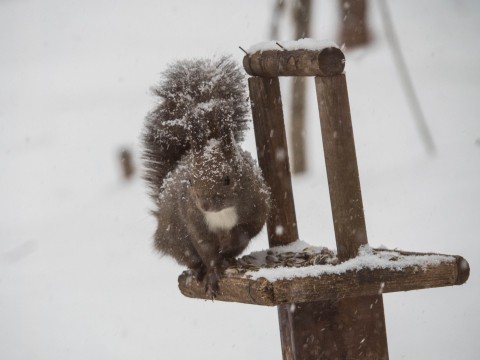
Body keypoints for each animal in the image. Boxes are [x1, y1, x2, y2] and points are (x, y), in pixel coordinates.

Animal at [142, 57, 270, 298]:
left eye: (227, 179)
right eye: (191, 180)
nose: (205, 204)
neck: (221, 213)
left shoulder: (255, 206)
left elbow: (245, 232)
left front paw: (228, 250)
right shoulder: (194, 219)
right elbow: (206, 249)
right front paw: (213, 273)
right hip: (175, 236)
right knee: (189, 256)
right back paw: (198, 270)